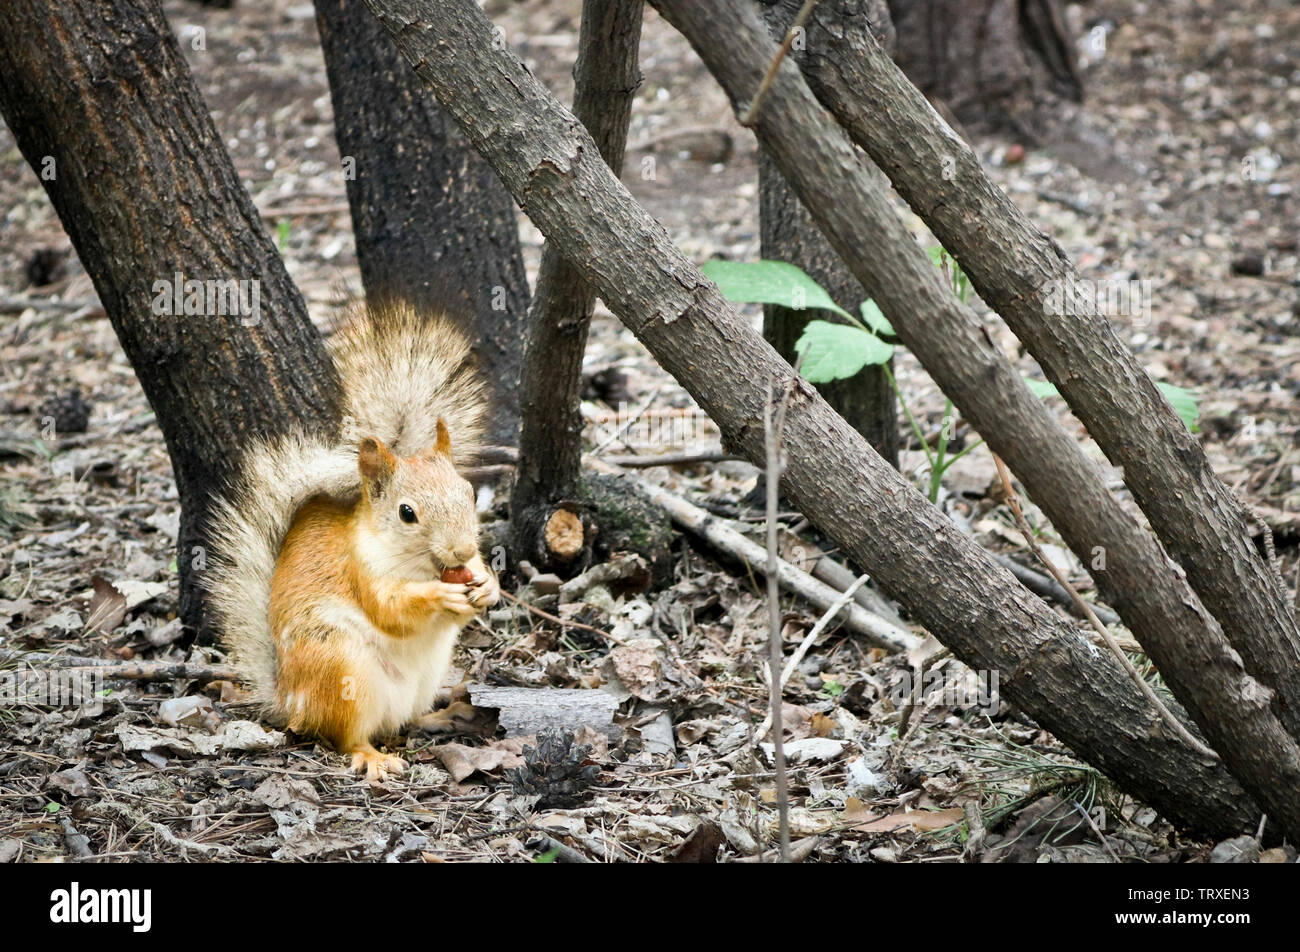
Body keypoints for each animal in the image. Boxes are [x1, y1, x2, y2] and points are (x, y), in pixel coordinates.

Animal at [206, 301, 500, 781]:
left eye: (469, 494)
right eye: (407, 513)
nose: (461, 551)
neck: (421, 565)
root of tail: (289, 700)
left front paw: (488, 585)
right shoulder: (360, 568)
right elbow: (391, 611)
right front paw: (438, 596)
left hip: (421, 679)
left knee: (404, 718)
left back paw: (444, 715)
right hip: (342, 670)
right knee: (346, 735)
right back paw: (372, 756)